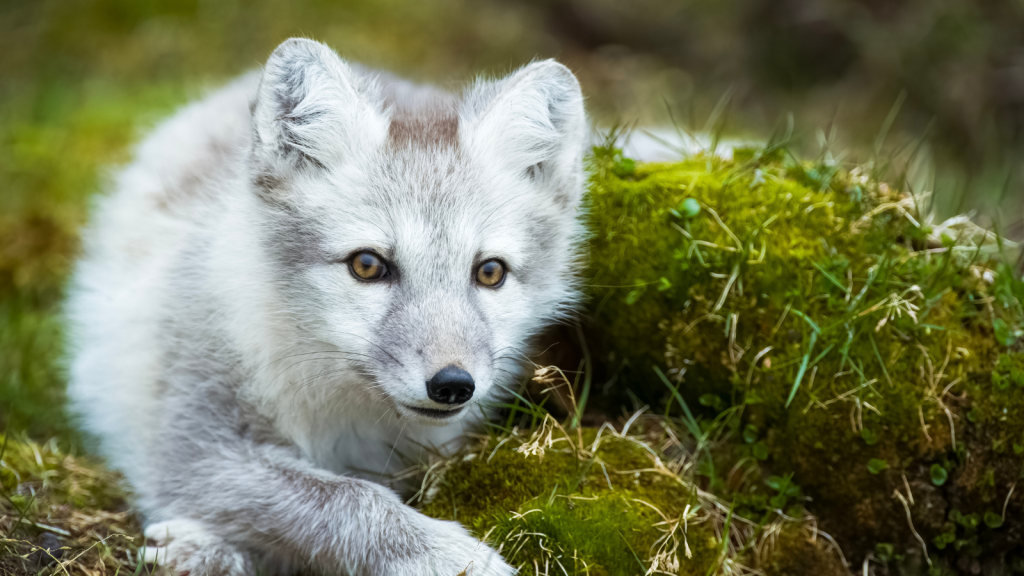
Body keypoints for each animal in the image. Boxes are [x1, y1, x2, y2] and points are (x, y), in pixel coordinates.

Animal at [66, 38, 585, 569]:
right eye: (368, 265)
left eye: (490, 272)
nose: (454, 385)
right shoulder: (193, 446)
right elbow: (351, 498)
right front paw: (452, 558)